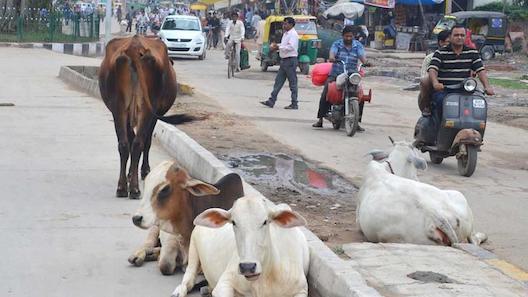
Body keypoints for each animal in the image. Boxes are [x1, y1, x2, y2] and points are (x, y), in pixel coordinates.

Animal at [99, 35, 192, 198]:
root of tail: (134, 47)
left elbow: (130, 139)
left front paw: (130, 173)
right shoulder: (155, 114)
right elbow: (146, 141)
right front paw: (143, 171)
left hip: (119, 108)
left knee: (124, 144)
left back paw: (122, 187)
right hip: (147, 109)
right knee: (139, 143)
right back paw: (135, 189)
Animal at [171, 194, 310, 296]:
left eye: (265, 221)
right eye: (233, 222)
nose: (247, 267)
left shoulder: (301, 290)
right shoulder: (224, 283)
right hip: (193, 251)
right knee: (188, 279)